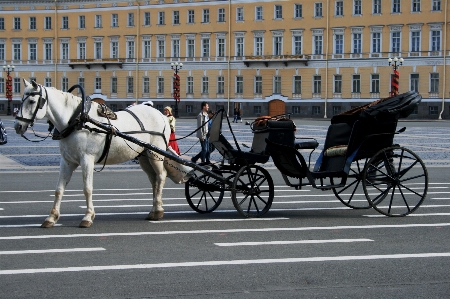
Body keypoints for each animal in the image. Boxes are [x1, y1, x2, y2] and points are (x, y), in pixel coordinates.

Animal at [12, 81, 178, 229]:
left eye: (32, 101)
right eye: (21, 100)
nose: (18, 126)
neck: (76, 121)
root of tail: (161, 114)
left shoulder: (87, 159)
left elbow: (87, 188)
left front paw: (87, 217)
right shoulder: (66, 161)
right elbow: (59, 189)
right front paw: (51, 218)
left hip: (155, 153)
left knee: (161, 176)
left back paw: (158, 210)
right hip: (144, 156)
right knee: (154, 179)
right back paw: (154, 210)